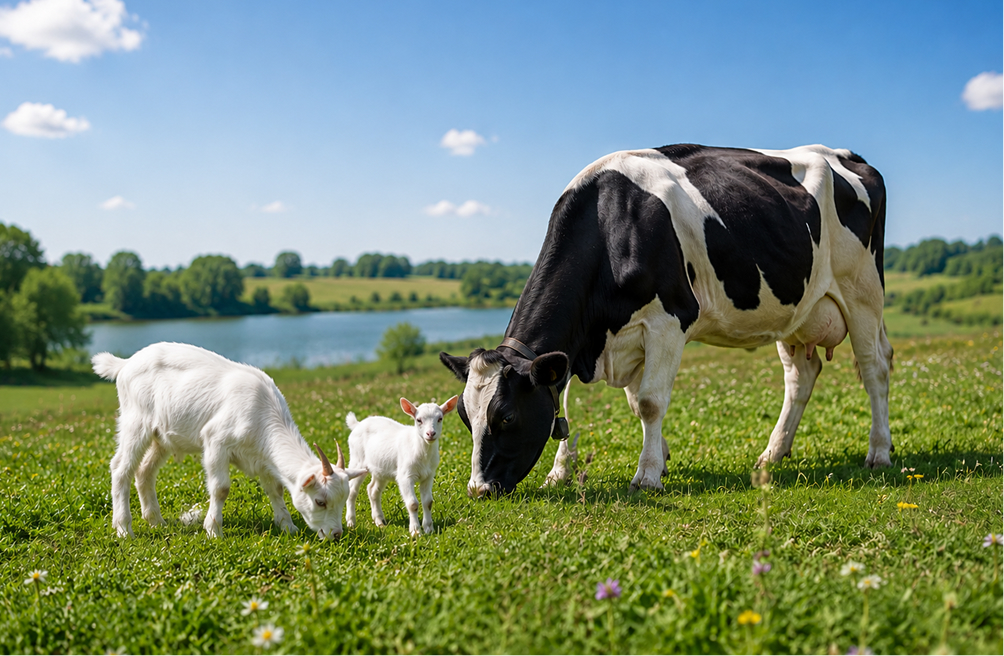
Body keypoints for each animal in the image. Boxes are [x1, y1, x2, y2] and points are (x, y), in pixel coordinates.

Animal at [92, 342, 366, 539]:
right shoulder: (215, 441)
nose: (336, 534)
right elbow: (221, 488)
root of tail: (125, 364)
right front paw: (213, 530)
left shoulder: (262, 457)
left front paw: (287, 526)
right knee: (121, 468)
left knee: (144, 471)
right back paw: (124, 529)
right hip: (135, 422)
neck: (262, 412)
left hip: (162, 437)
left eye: (342, 500)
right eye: (320, 501)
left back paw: (156, 522)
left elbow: (275, 489)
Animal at [345, 396, 458, 536]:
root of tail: (357, 424)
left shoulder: (428, 475)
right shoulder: (405, 475)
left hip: (381, 468)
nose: (431, 433)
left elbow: (428, 502)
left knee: (373, 489)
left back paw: (379, 521)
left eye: (440, 418)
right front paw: (416, 531)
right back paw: (351, 522)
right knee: (352, 490)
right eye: (418, 420)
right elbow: (413, 504)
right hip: (357, 459)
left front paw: (429, 529)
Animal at [440, 144, 892, 497]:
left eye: (506, 417)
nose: (478, 489)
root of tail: (848, 155)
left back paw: (879, 451)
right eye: (464, 418)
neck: (610, 223)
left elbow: (648, 402)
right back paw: (773, 453)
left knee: (875, 368)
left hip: (863, 292)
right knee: (801, 376)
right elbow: (572, 403)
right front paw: (561, 472)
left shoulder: (668, 321)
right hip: (797, 309)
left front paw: (648, 474)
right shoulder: (586, 344)